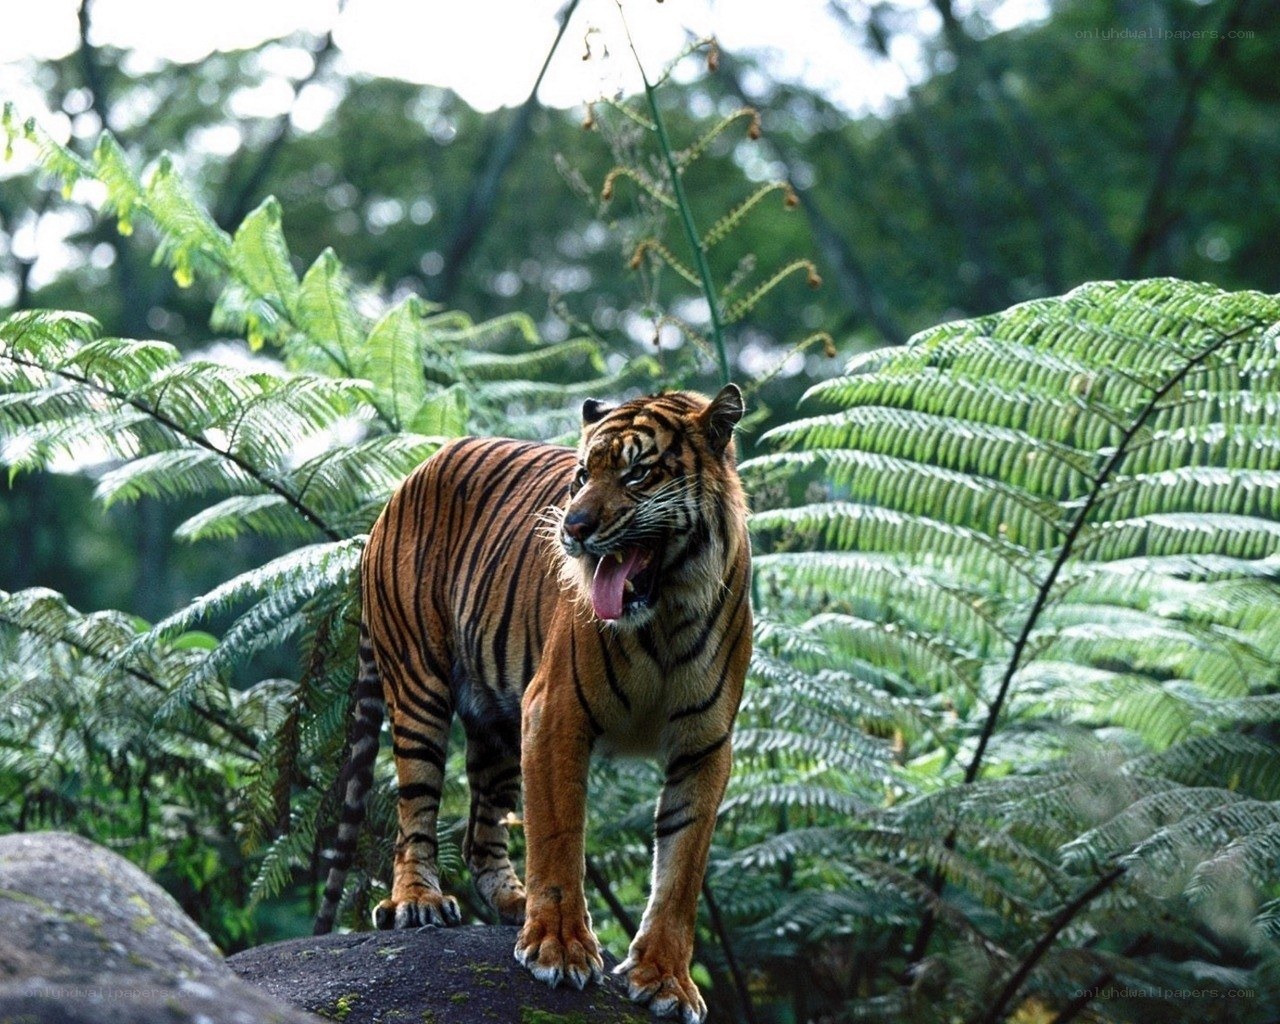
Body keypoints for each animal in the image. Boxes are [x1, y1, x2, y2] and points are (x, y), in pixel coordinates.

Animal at [314, 384, 753, 1024]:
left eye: (638, 473)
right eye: (581, 476)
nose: (573, 526)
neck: (665, 614)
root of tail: (409, 477)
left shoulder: (705, 744)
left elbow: (681, 870)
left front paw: (666, 982)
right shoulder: (555, 711)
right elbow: (559, 835)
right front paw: (561, 950)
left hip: (496, 718)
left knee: (479, 836)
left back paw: (512, 904)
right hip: (419, 686)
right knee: (414, 809)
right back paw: (418, 901)